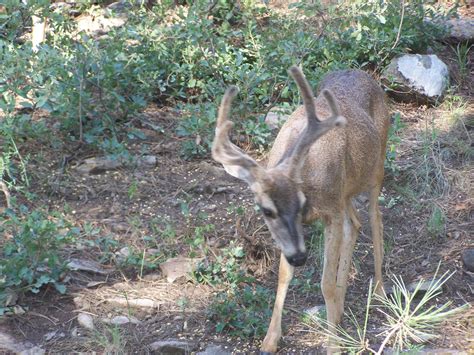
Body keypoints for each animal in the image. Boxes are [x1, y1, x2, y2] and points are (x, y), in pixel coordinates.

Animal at [211, 66, 388, 354]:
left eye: (300, 204)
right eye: (266, 211)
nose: (299, 258)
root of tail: (361, 73)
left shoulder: (331, 212)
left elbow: (325, 284)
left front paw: (332, 345)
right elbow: (284, 275)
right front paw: (270, 340)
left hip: (376, 168)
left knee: (375, 220)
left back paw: (380, 293)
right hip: (345, 190)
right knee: (355, 223)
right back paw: (339, 311)